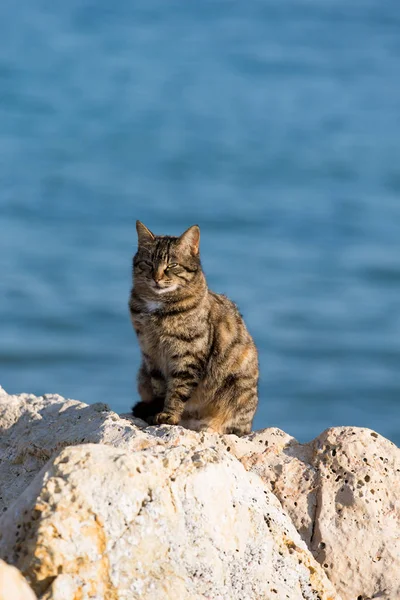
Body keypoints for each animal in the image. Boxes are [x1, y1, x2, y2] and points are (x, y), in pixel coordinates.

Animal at [129, 220, 260, 436]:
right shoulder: (151, 355)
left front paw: (168, 415)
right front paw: (156, 412)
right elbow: (160, 389)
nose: (156, 277)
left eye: (172, 265)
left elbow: (178, 389)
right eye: (148, 263)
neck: (157, 307)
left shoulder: (188, 354)